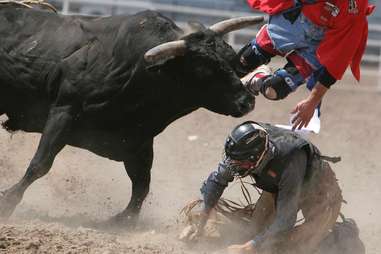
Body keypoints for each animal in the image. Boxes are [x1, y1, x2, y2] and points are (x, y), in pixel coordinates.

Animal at [0, 5, 262, 224]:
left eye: (230, 59)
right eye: (204, 70)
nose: (247, 101)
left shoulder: (138, 141)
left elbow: (142, 184)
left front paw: (124, 219)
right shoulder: (63, 112)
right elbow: (40, 164)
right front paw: (8, 202)